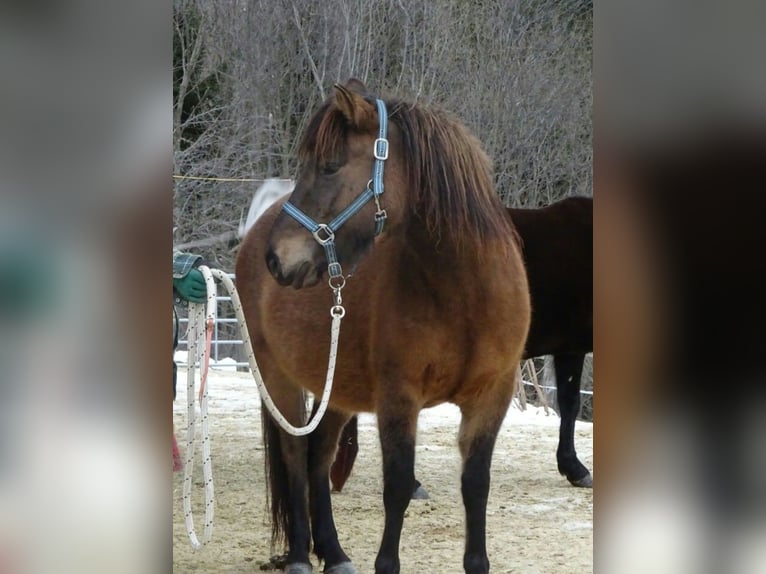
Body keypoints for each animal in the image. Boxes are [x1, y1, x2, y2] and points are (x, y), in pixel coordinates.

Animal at [237, 80, 532, 574]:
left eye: (330, 165)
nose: (277, 259)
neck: (464, 295)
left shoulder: (491, 398)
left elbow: (476, 485)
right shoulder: (399, 398)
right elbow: (396, 487)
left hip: (336, 390)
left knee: (319, 458)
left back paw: (335, 554)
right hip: (278, 378)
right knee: (295, 457)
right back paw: (299, 556)